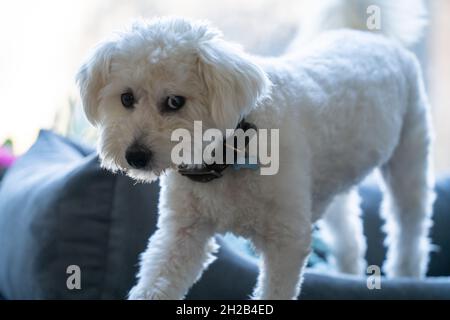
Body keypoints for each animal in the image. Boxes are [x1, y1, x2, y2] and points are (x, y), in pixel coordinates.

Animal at [77, 0, 436, 300]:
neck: (230, 153)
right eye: (126, 98)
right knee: (349, 232)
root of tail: (365, 33)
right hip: (330, 180)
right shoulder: (182, 236)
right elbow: (155, 283)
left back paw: (407, 276)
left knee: (410, 230)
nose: (135, 156)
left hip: (410, 160)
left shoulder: (287, 243)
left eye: (175, 102)